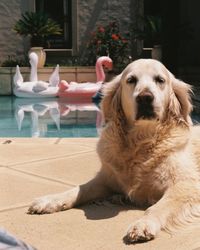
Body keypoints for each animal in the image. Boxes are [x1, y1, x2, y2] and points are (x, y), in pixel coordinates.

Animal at [28, 58, 200, 242]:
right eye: (131, 80)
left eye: (160, 80)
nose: (145, 98)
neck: (142, 141)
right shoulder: (106, 180)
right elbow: (80, 189)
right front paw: (50, 200)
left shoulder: (187, 185)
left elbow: (158, 206)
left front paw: (143, 223)